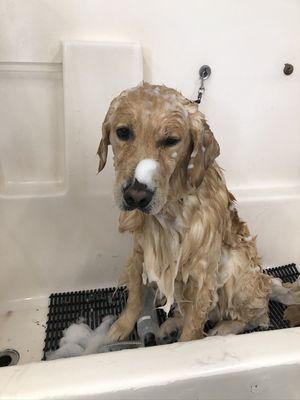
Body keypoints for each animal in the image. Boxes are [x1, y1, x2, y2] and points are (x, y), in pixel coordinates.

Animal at [97, 83, 298, 342]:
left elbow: (192, 329)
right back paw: (171, 323)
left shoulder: (203, 274)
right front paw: (120, 328)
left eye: (171, 140)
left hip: (235, 268)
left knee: (252, 315)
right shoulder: (141, 252)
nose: (136, 195)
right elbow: (134, 297)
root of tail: (266, 282)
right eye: (123, 132)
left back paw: (224, 328)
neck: (173, 206)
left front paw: (183, 344)